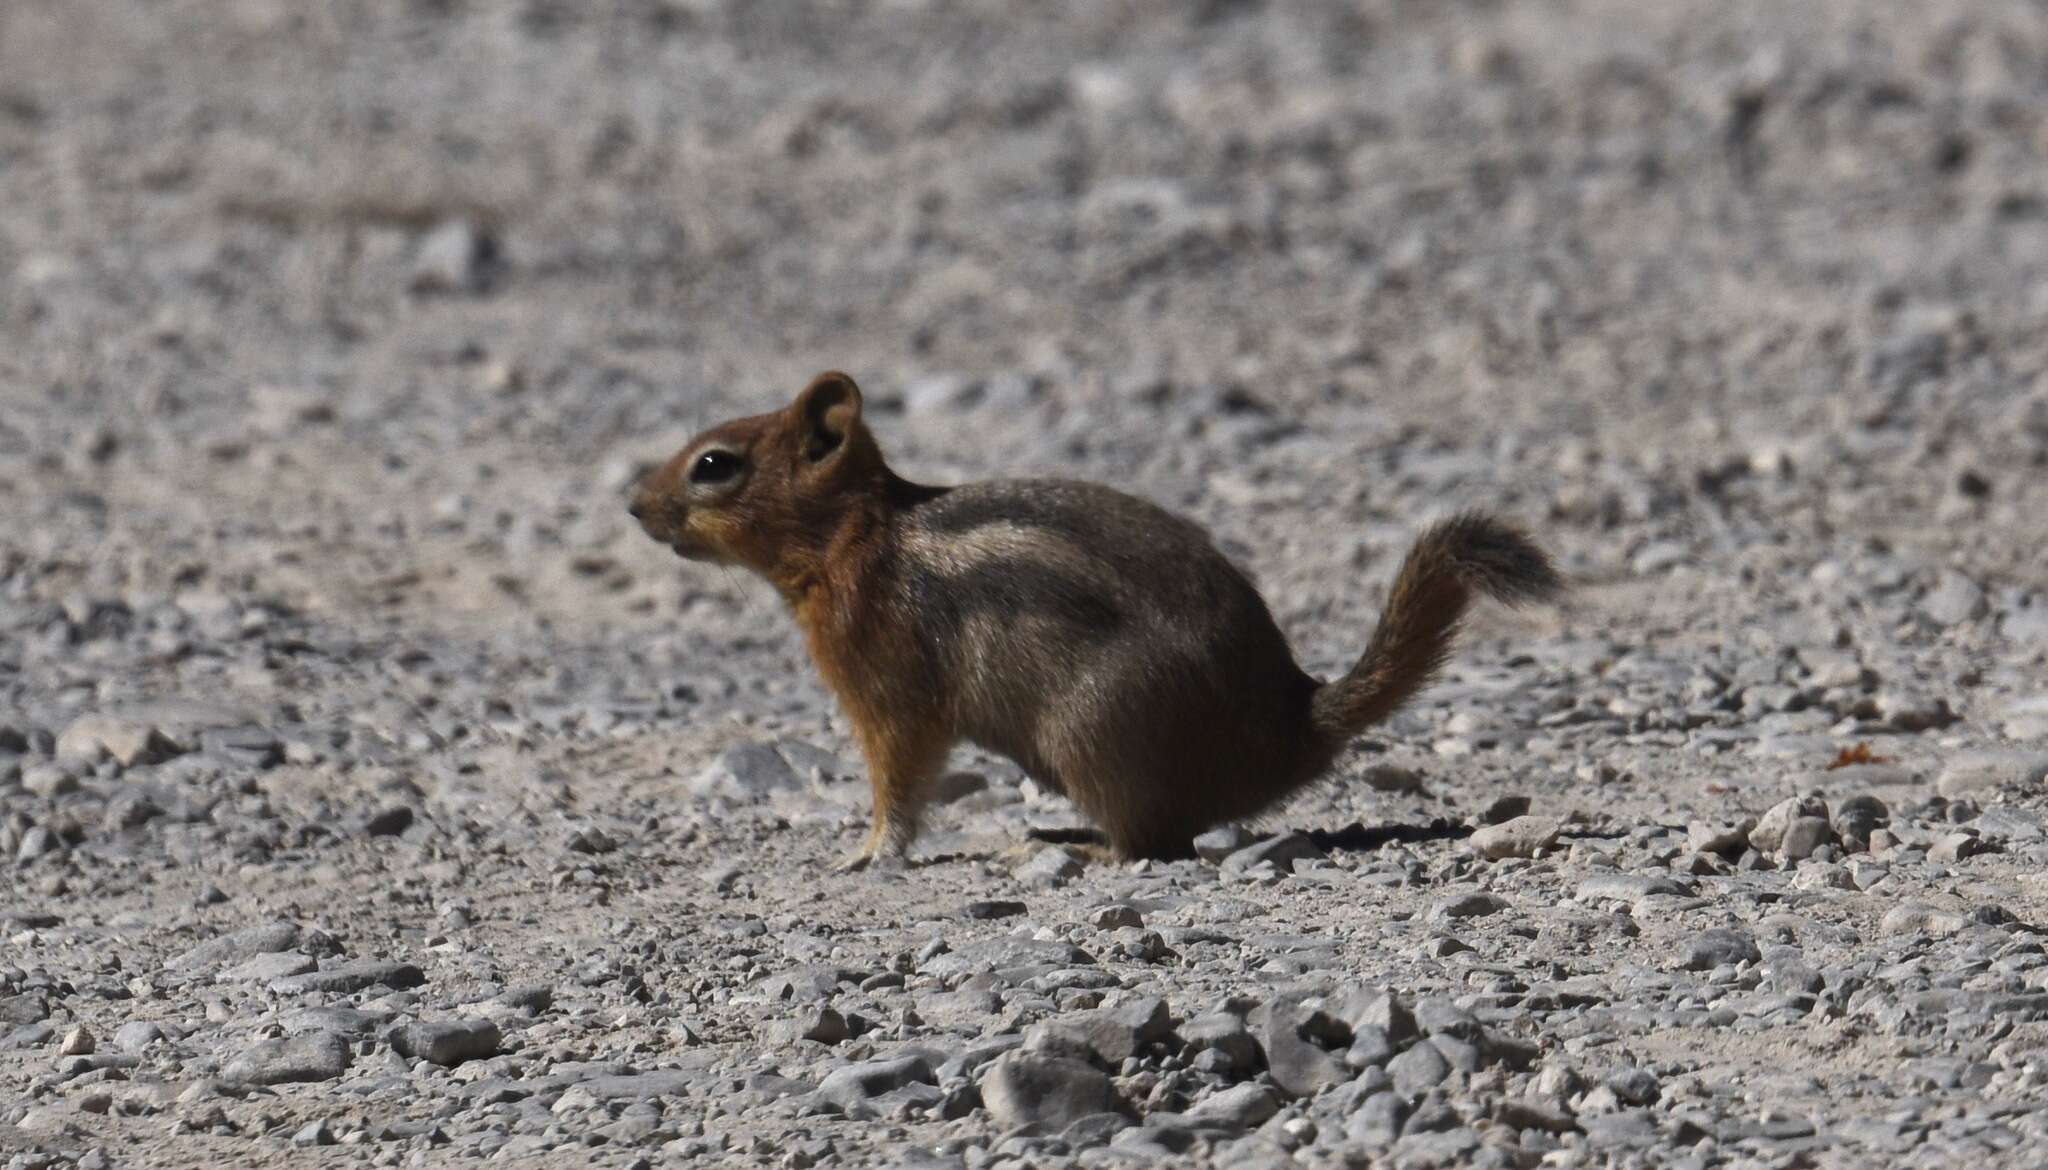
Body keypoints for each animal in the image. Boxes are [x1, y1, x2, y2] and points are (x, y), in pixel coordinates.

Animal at [630, 374, 1556, 868]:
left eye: (714, 464)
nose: (635, 506)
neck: (856, 537)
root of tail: (1292, 725)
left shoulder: (887, 686)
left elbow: (900, 777)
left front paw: (868, 851)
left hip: (1093, 729)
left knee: (1158, 839)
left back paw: (1083, 848)